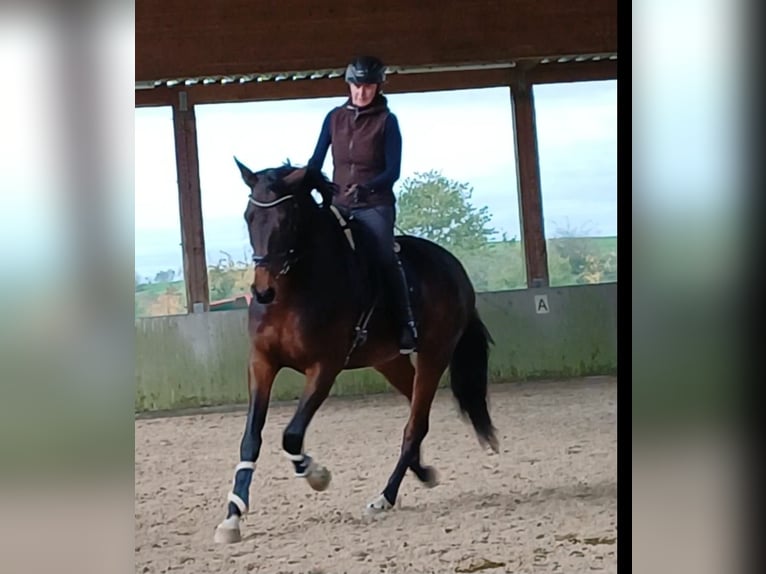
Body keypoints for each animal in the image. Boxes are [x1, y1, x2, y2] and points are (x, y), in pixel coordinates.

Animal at [214, 158, 499, 543]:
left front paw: (317, 475)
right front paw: (232, 517)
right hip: (389, 361)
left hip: (435, 354)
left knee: (415, 424)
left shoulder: (324, 367)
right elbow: (250, 439)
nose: (262, 292)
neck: (292, 292)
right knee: (416, 413)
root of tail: (454, 268)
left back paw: (385, 496)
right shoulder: (262, 363)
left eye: (288, 219)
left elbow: (291, 436)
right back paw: (421, 473)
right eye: (249, 216)